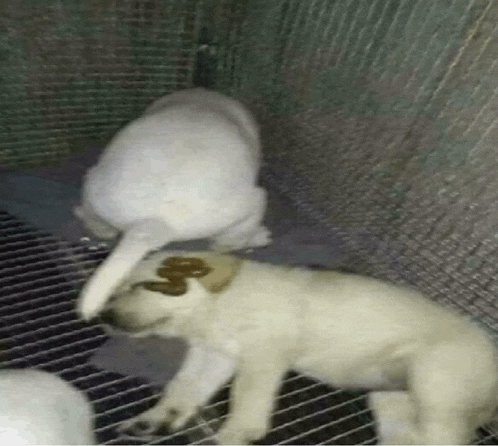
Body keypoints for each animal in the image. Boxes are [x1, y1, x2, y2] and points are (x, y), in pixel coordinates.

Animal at [75, 88, 270, 320]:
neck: (200, 100)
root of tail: (152, 221)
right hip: (252, 202)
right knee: (226, 242)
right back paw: (258, 237)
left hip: (94, 183)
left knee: (97, 222)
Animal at [95, 249, 496, 444]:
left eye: (146, 285)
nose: (103, 316)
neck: (218, 307)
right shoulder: (212, 356)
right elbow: (182, 391)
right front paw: (153, 422)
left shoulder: (264, 355)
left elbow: (245, 402)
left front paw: (236, 435)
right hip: (391, 400)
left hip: (437, 389)